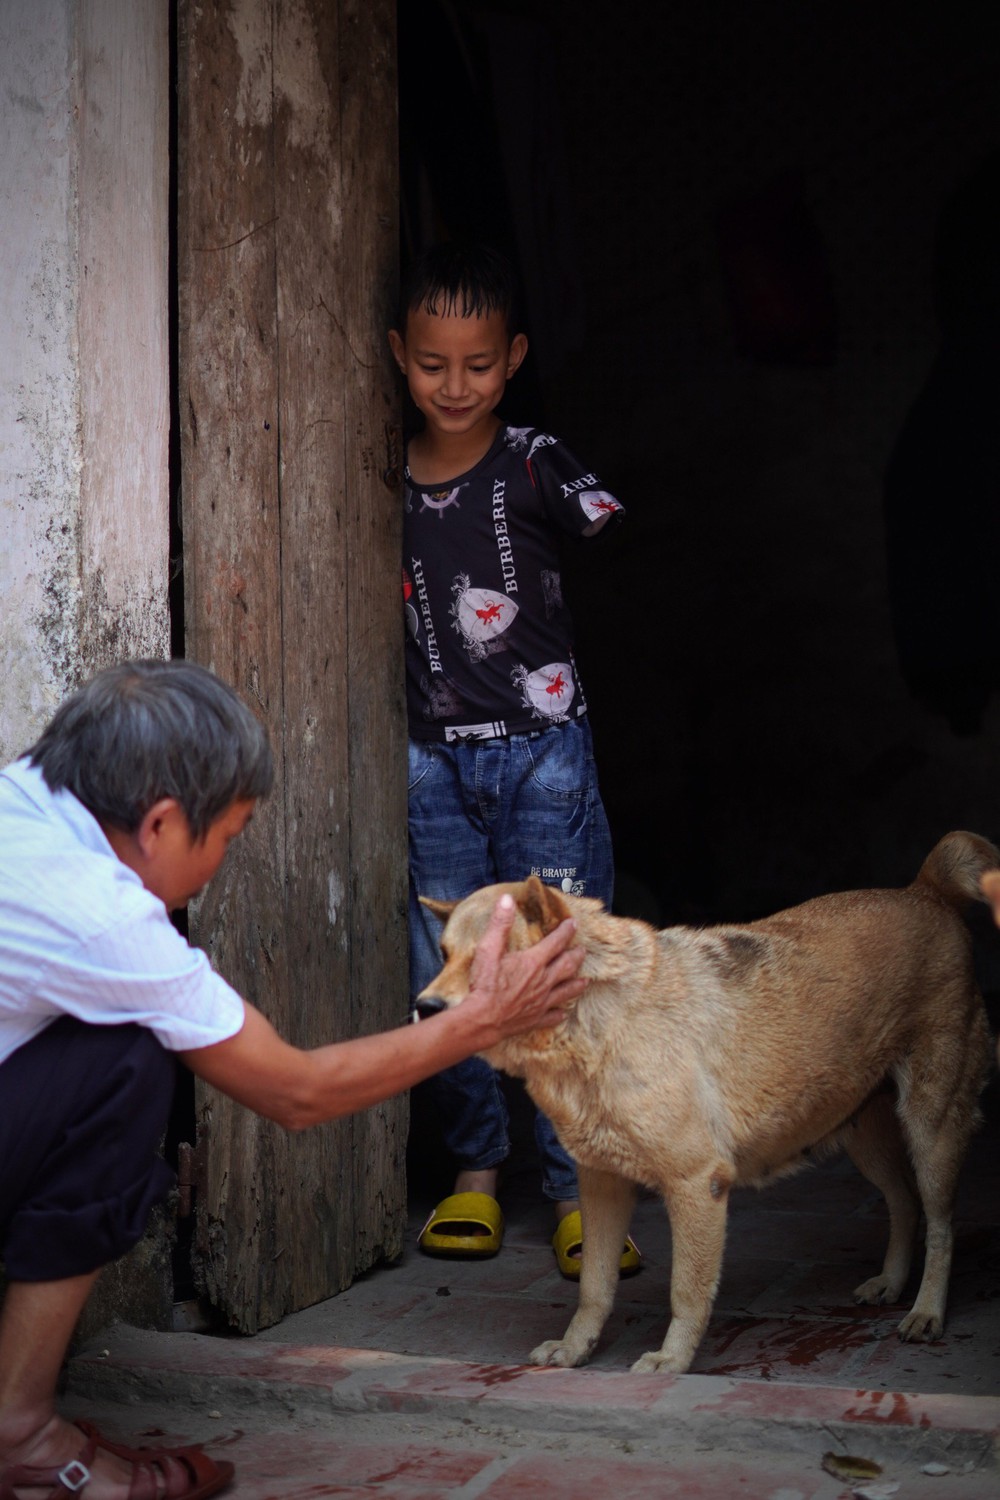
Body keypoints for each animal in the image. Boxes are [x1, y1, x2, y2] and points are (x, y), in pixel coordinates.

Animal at [419, 834, 995, 1374]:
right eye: (443, 955)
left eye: (490, 958)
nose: (425, 1009)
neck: (593, 1023)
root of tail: (923, 891)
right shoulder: (601, 1182)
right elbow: (594, 1287)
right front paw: (575, 1347)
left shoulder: (697, 1184)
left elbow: (687, 1290)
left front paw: (671, 1361)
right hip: (862, 1135)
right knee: (904, 1203)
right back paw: (891, 1284)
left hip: (930, 1129)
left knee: (941, 1225)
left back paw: (926, 1313)